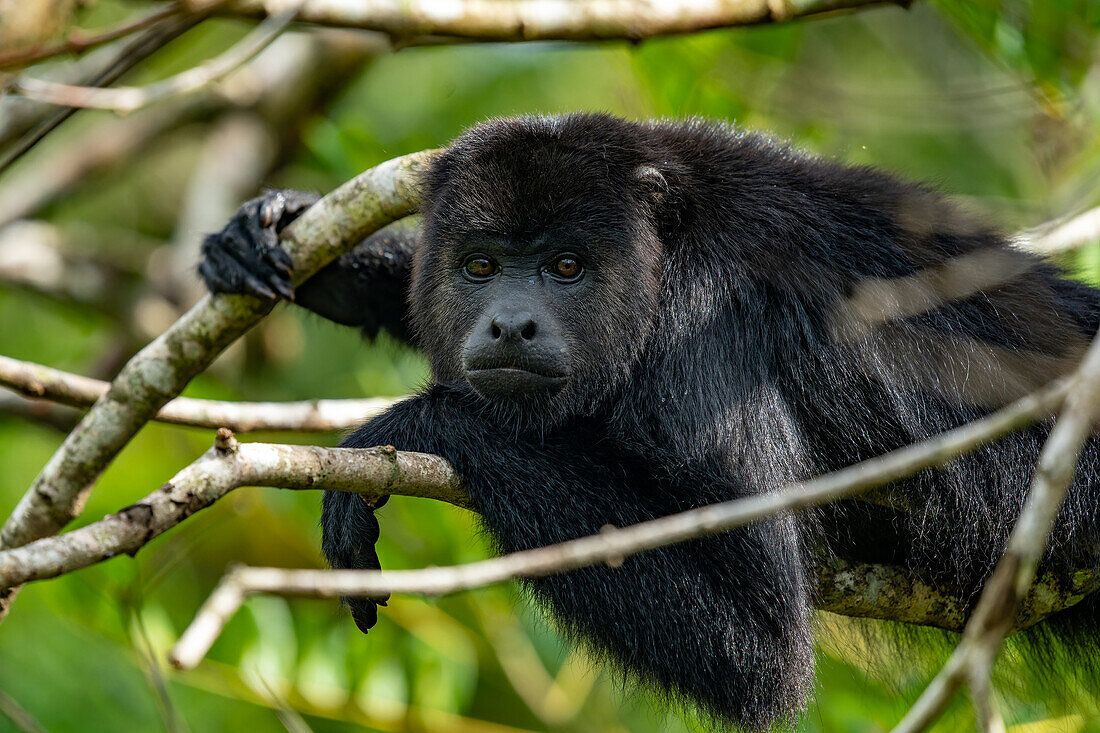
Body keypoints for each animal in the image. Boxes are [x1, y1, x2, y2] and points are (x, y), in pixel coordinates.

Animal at [198, 114, 1100, 726]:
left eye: (567, 265)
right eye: (480, 266)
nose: (511, 324)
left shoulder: (706, 333)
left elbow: (758, 653)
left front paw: (423, 426)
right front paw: (318, 247)